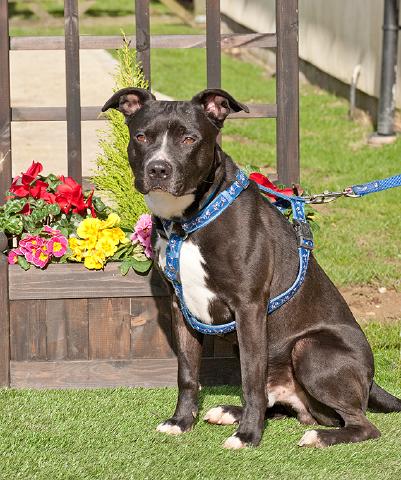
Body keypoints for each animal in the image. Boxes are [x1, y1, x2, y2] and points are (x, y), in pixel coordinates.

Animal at [101, 87, 400, 450]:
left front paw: (248, 436)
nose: (159, 168)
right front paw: (181, 422)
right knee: (283, 405)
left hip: (309, 348)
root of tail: (370, 381)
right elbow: (187, 373)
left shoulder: (250, 307)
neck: (189, 220)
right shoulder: (179, 306)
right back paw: (231, 412)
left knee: (362, 425)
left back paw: (315, 435)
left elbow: (251, 379)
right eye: (142, 136)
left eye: (189, 139)